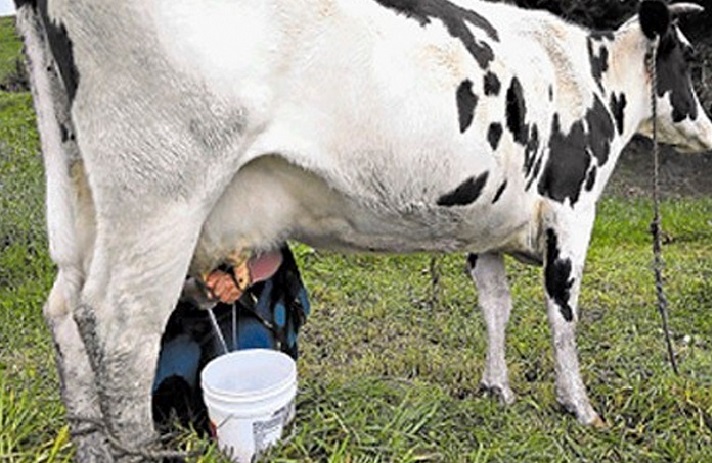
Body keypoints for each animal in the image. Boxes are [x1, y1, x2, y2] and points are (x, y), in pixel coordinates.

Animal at [13, 0, 712, 462]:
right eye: (690, 57)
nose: (708, 128)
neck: (588, 76)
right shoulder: (571, 210)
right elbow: (562, 315)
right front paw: (580, 408)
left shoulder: (483, 225)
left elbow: (496, 305)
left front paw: (497, 390)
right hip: (162, 190)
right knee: (121, 327)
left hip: (82, 191)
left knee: (66, 313)